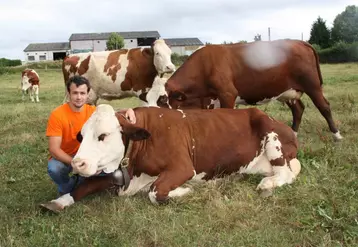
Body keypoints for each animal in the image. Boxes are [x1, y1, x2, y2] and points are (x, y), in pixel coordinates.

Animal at [40, 104, 300, 212]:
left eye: (103, 135)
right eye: (81, 136)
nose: (77, 163)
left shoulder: (183, 168)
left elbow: (156, 192)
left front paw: (184, 191)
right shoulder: (117, 175)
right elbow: (84, 186)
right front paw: (59, 201)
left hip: (272, 139)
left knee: (286, 173)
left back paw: (267, 184)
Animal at [155, 40, 342, 141]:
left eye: (163, 100)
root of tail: (299, 41)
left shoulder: (227, 94)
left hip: (312, 86)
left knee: (324, 106)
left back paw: (336, 135)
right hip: (288, 91)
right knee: (298, 109)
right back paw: (293, 133)